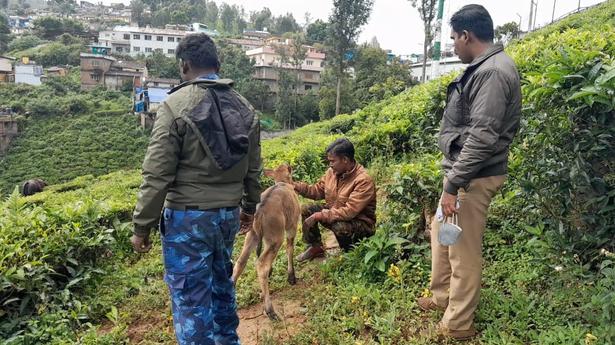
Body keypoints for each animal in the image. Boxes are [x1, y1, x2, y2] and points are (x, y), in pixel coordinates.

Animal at [232, 164, 302, 320]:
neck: (283, 183)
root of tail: (259, 211)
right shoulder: (292, 226)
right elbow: (290, 248)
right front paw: (291, 277)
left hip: (252, 236)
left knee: (240, 262)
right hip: (276, 237)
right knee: (261, 264)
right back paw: (270, 310)